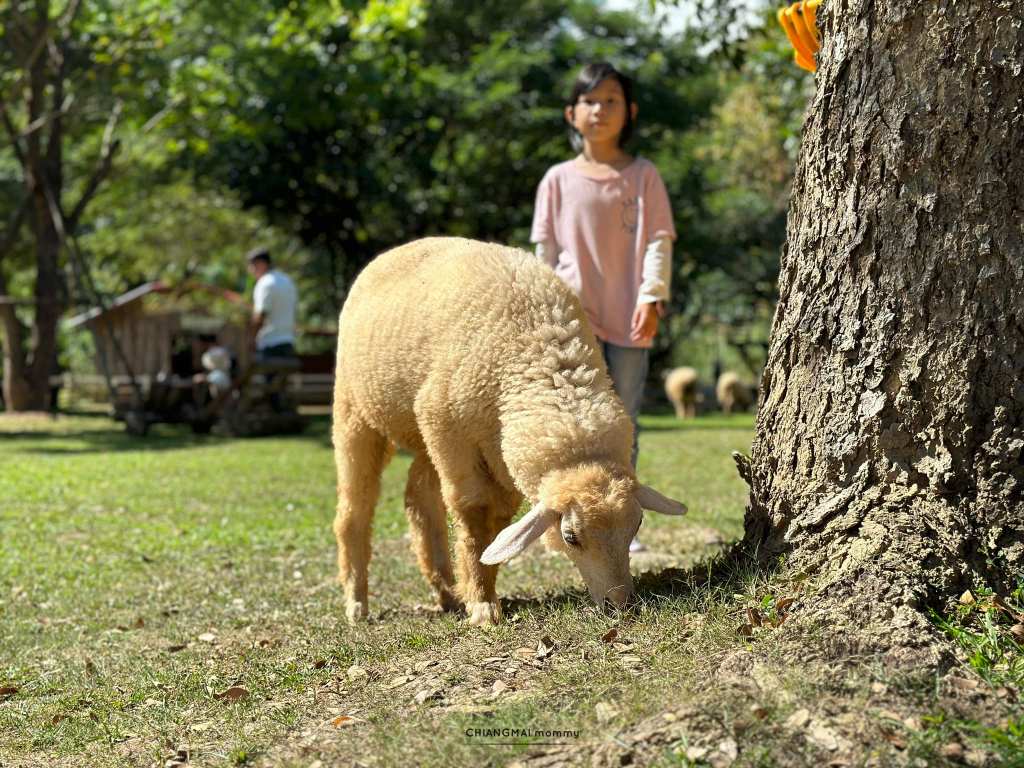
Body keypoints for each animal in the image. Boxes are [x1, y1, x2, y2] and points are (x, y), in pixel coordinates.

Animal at [332, 237, 686, 626]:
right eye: (570, 537)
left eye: (636, 526)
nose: (620, 605)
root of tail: (392, 253)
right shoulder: (449, 428)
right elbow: (472, 514)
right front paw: (482, 605)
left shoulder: (494, 451)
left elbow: (498, 520)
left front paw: (482, 588)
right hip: (355, 411)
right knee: (356, 505)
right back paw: (356, 601)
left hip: (425, 434)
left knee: (419, 497)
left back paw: (447, 592)